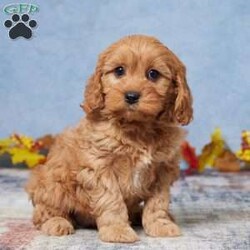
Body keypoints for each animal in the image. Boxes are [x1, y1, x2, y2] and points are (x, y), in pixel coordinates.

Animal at [25, 34, 193, 242]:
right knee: (43, 212)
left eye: (153, 74)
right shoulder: (100, 168)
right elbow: (111, 200)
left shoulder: (162, 170)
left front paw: (160, 224)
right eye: (119, 71)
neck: (136, 127)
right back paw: (57, 223)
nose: (131, 96)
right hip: (52, 183)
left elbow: (158, 203)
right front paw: (117, 230)